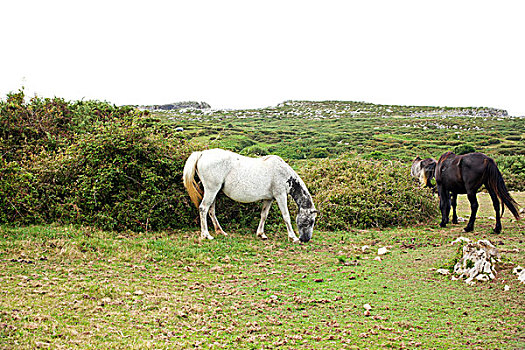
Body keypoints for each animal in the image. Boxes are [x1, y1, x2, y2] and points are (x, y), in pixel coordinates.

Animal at [182, 148, 318, 243]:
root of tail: (202, 154)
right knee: (203, 208)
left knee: (211, 210)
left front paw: (261, 234)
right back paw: (206, 235)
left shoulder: (268, 199)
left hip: (213, 192)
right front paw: (292, 237)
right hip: (211, 190)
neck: (283, 172)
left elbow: (264, 215)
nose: (305, 239)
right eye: (310, 221)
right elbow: (286, 216)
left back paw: (220, 231)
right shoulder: (280, 196)